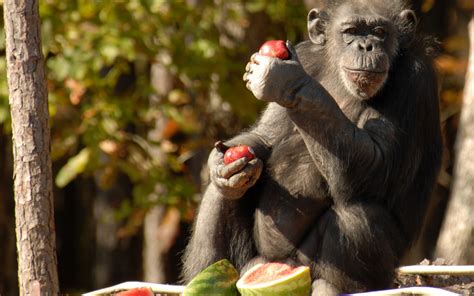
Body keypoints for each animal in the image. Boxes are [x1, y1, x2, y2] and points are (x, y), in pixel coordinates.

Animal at [181, 0, 440, 294]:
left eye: (380, 32)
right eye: (351, 31)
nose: (366, 46)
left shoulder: (413, 80)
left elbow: (378, 165)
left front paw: (286, 80)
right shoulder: (305, 56)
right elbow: (267, 136)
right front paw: (222, 167)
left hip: (367, 274)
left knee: (356, 216)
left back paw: (331, 285)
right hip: (252, 261)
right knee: (220, 196)